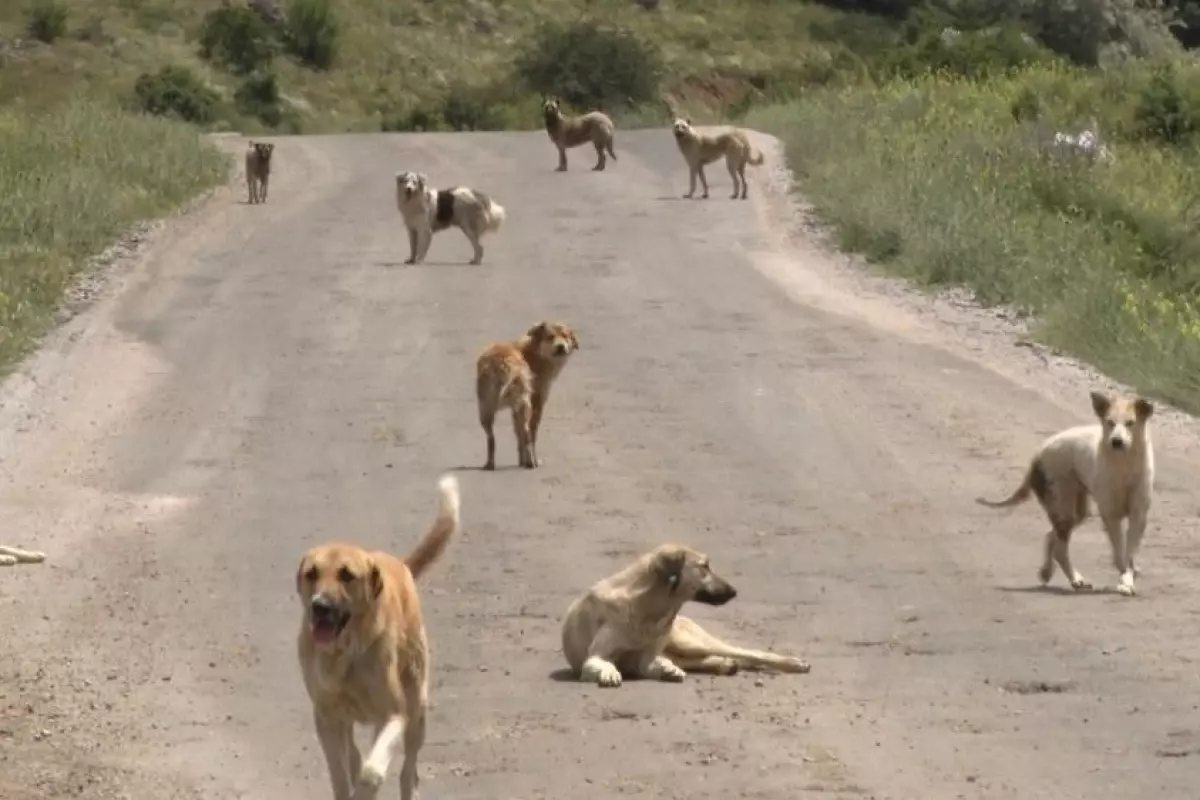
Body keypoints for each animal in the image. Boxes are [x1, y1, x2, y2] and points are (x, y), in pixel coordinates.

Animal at [297, 474, 460, 800]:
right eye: (312, 573)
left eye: (347, 575)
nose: (319, 606)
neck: (345, 653)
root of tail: (399, 563)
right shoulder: (326, 717)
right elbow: (340, 772)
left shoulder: (394, 715)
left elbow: (372, 772)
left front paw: (365, 788)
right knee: (355, 754)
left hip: (417, 710)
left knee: (408, 772)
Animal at [475, 319, 578, 470]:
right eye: (550, 337)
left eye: (565, 336)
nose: (561, 346)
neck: (535, 353)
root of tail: (500, 362)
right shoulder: (537, 403)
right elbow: (531, 434)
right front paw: (530, 460)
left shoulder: (514, 408)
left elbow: (518, 436)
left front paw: (521, 460)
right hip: (523, 404)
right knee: (526, 432)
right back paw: (531, 462)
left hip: (486, 407)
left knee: (492, 439)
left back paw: (490, 463)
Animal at [564, 544, 816, 690]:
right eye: (704, 566)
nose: (734, 591)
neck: (648, 608)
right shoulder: (597, 656)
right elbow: (600, 663)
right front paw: (609, 671)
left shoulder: (647, 657)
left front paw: (667, 670)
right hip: (686, 650)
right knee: (716, 658)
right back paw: (724, 664)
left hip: (689, 642)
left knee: (749, 653)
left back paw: (793, 663)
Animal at [979, 391, 1156, 597]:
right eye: (1110, 422)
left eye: (1130, 423)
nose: (1116, 442)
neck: (1124, 465)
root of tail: (1038, 453)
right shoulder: (1110, 516)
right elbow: (1121, 554)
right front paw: (1125, 581)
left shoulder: (1138, 515)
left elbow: (1129, 553)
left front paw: (1128, 577)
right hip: (1064, 508)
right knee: (1060, 549)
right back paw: (1075, 579)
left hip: (1077, 512)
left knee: (1051, 536)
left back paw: (1048, 571)